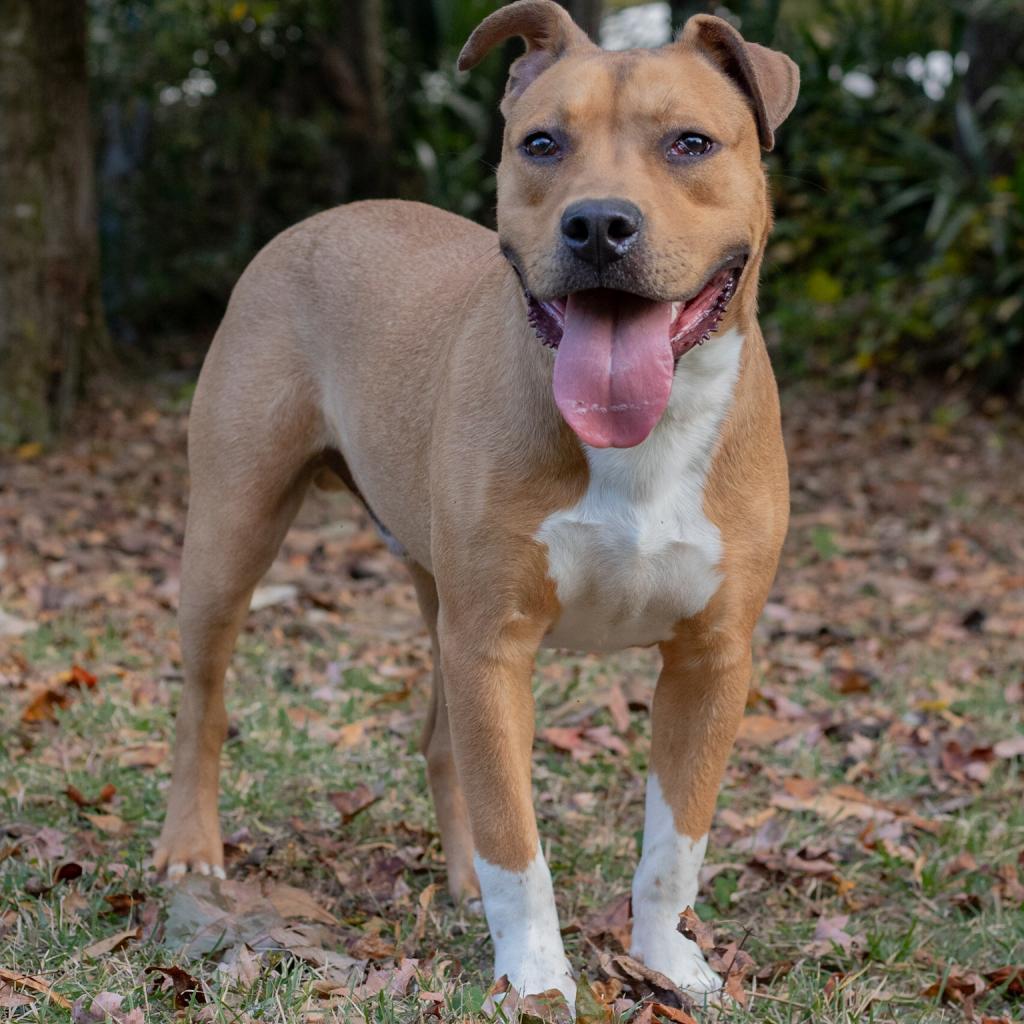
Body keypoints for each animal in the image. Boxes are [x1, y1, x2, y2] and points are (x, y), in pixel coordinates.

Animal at [155, 0, 798, 1003]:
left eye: (691, 143)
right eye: (542, 143)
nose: (599, 224)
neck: (643, 439)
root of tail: (323, 219)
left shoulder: (712, 657)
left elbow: (673, 845)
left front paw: (667, 961)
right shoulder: (493, 643)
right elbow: (516, 844)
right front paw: (535, 976)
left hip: (437, 597)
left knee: (442, 741)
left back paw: (457, 883)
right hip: (232, 534)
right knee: (204, 699)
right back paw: (191, 846)